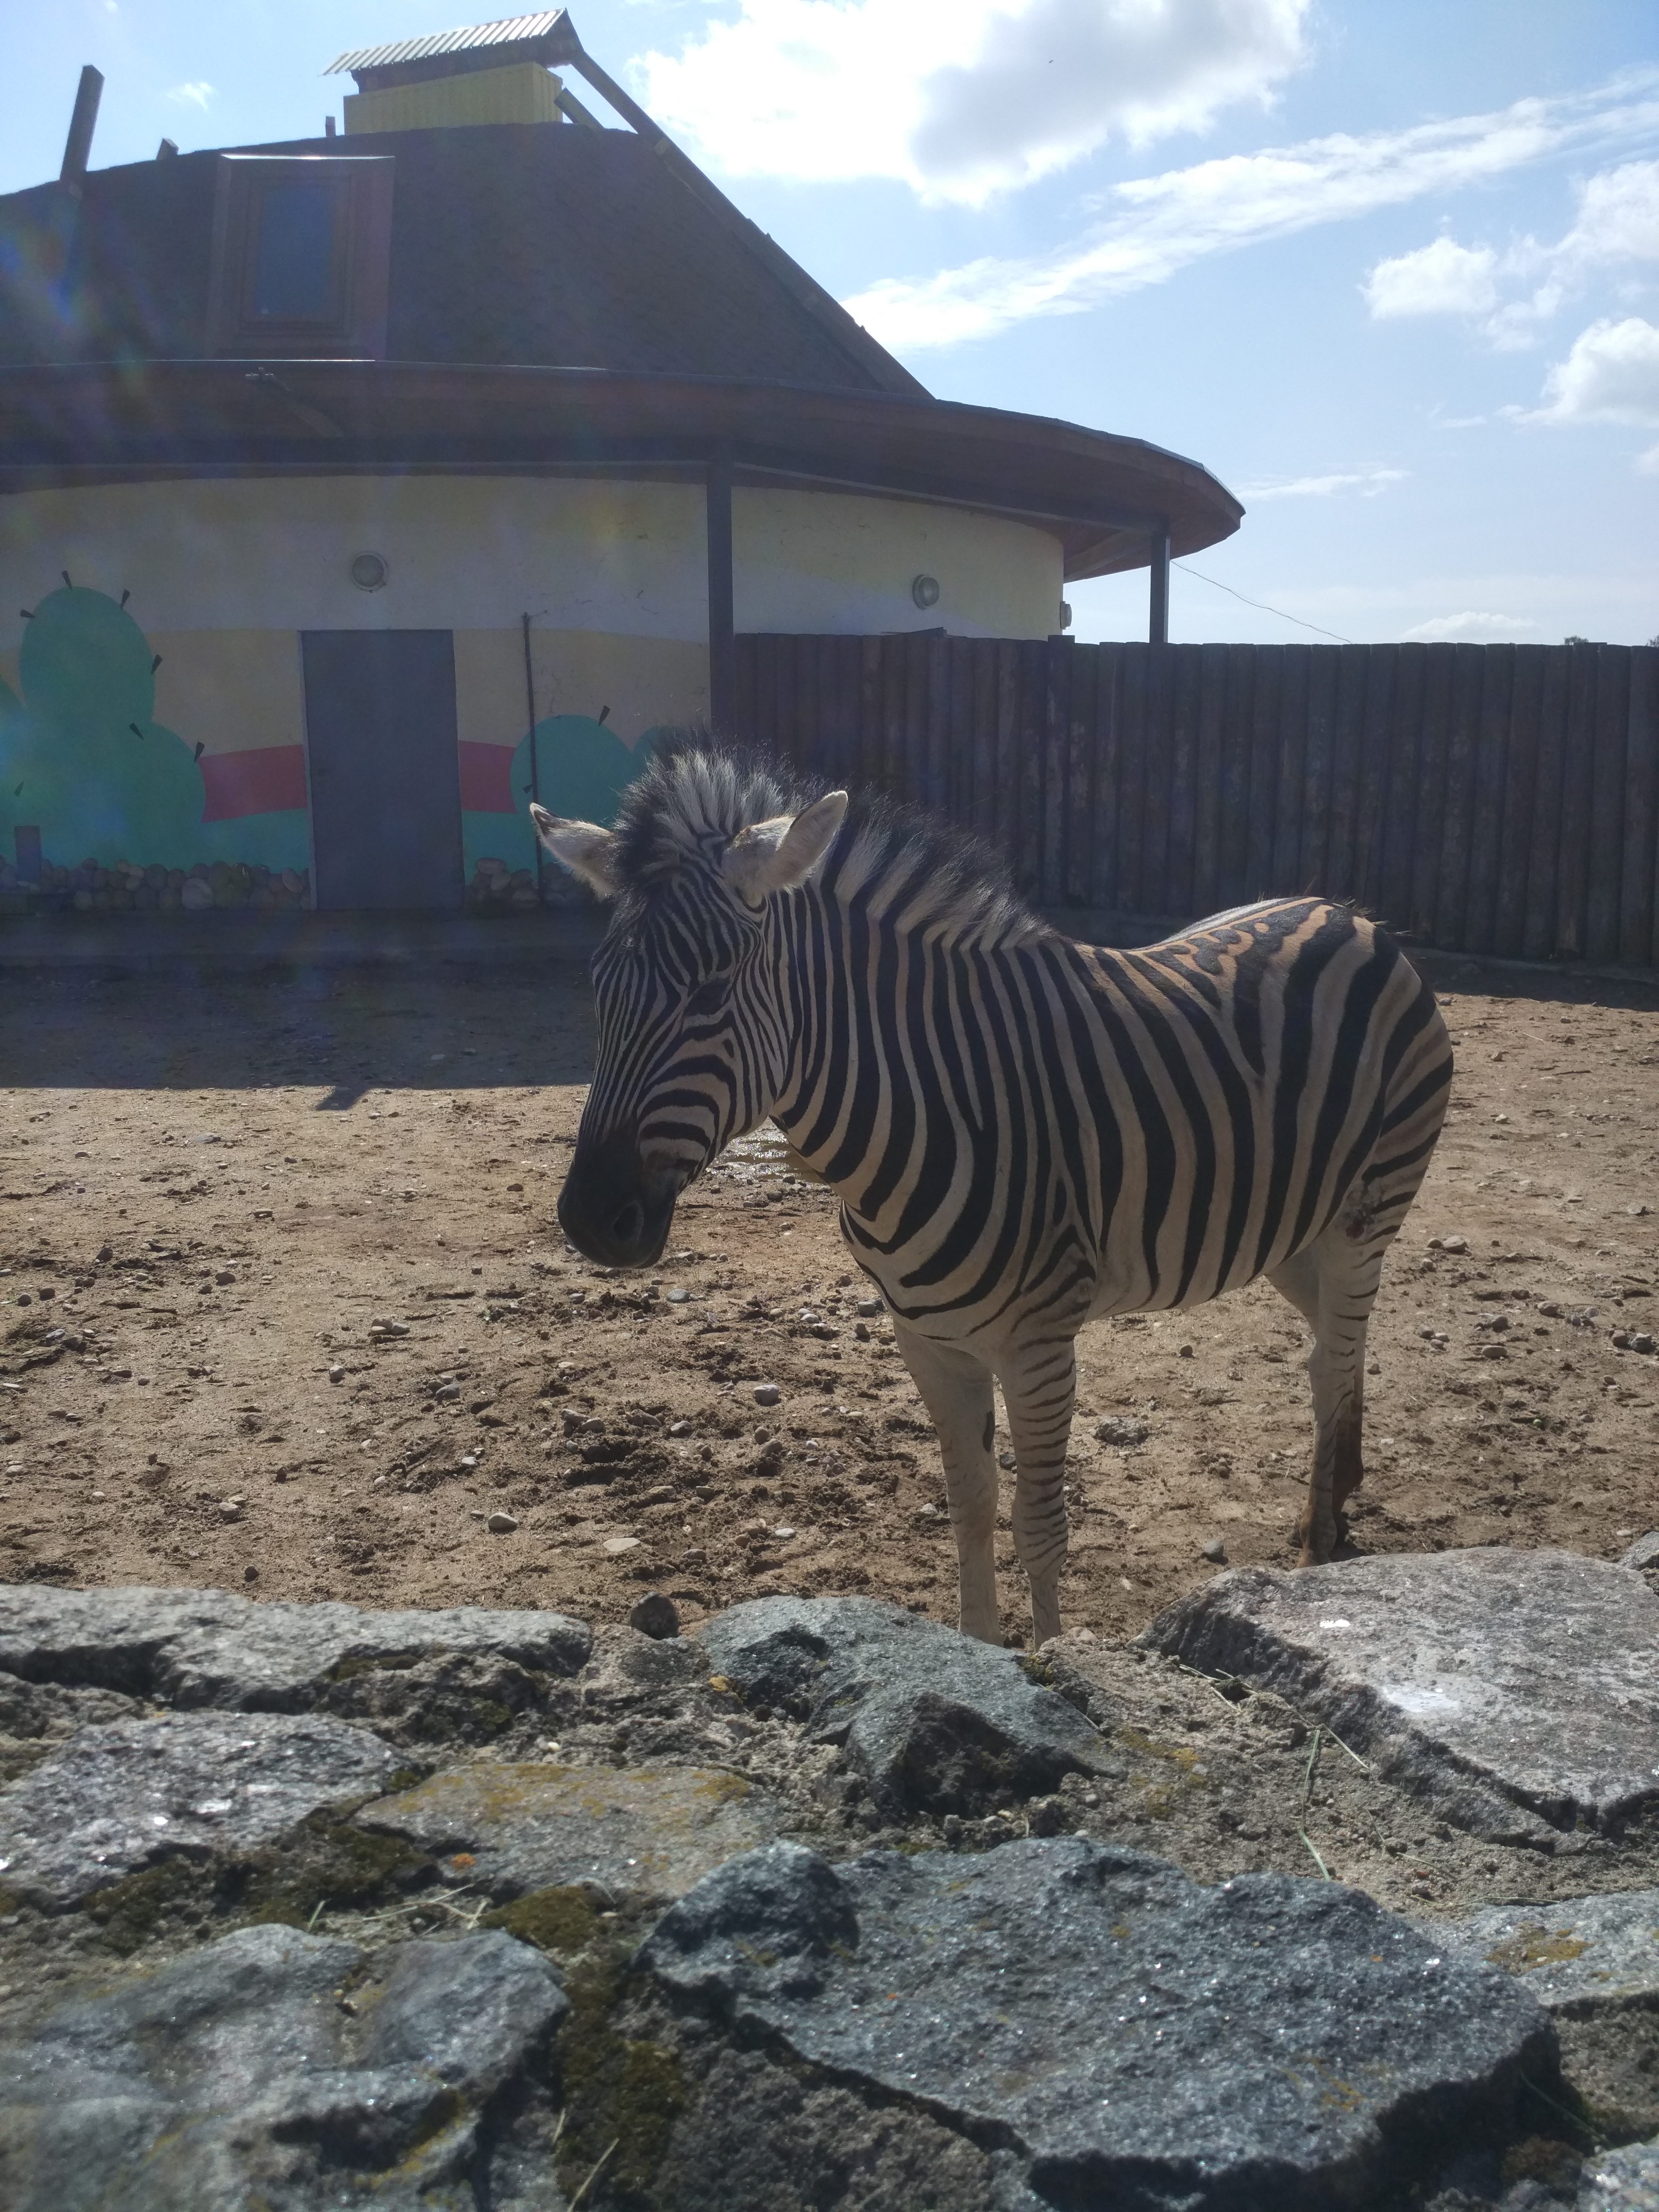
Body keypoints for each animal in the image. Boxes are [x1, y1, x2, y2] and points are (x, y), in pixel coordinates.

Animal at [535, 743, 1451, 1646]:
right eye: (599, 987)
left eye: (713, 990)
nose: (591, 1221)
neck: (932, 1102)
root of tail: (1346, 913)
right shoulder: (925, 1339)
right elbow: (970, 1508)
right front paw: (977, 1652)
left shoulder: (1039, 1344)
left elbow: (1038, 1524)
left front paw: (1048, 1661)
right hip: (1289, 1229)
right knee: (1333, 1346)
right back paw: (1342, 1487)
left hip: (1364, 1213)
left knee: (1332, 1359)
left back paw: (1318, 1539)